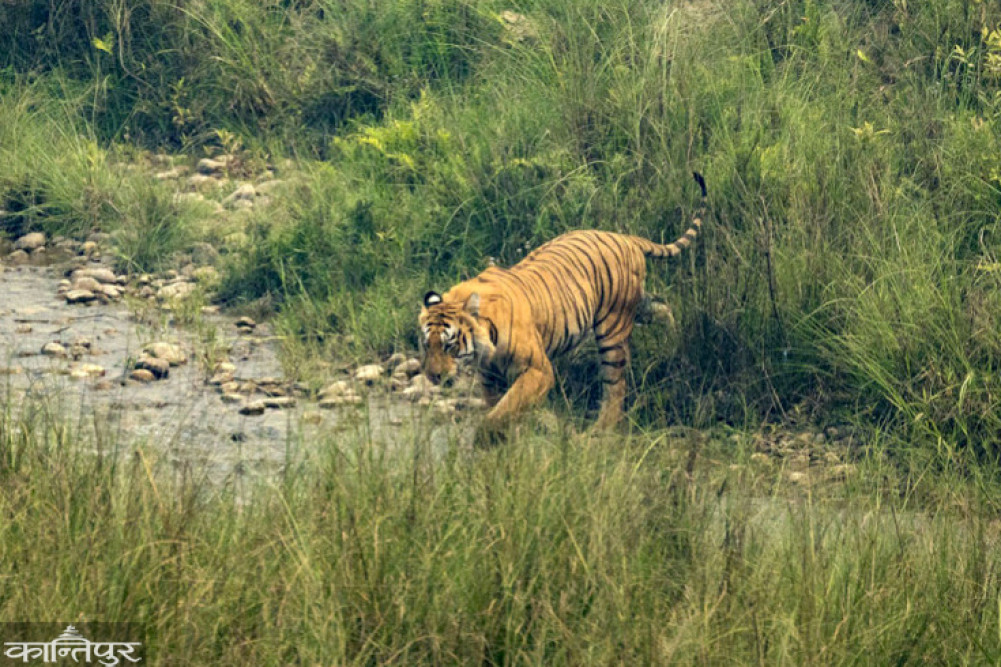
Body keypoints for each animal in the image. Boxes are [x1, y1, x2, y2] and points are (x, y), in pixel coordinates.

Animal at [419, 171, 707, 434]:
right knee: (663, 308)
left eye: (449, 345)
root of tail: (625, 237)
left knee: (615, 387)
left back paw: (601, 430)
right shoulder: (489, 377)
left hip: (612, 331)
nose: (433, 376)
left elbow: (506, 408)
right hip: (635, 306)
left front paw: (488, 437)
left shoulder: (538, 370)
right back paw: (673, 338)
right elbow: (499, 408)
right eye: (426, 345)